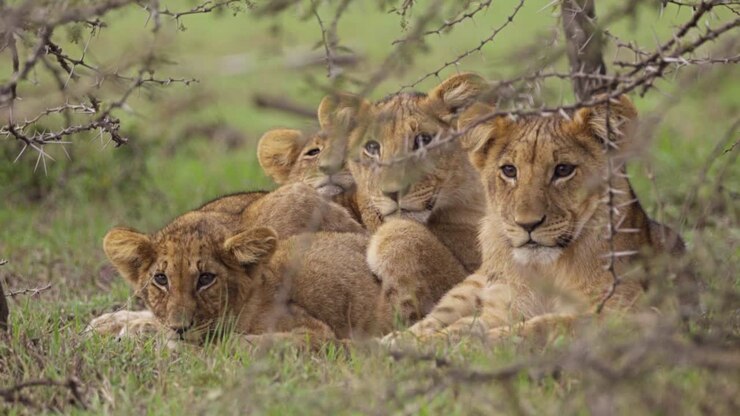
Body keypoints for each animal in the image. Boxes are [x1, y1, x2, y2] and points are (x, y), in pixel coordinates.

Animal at [385, 94, 687, 343]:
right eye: (509, 170)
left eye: (563, 170)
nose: (527, 224)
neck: (547, 269)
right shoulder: (503, 306)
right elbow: (462, 326)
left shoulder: (630, 313)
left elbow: (548, 324)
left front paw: (481, 341)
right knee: (434, 318)